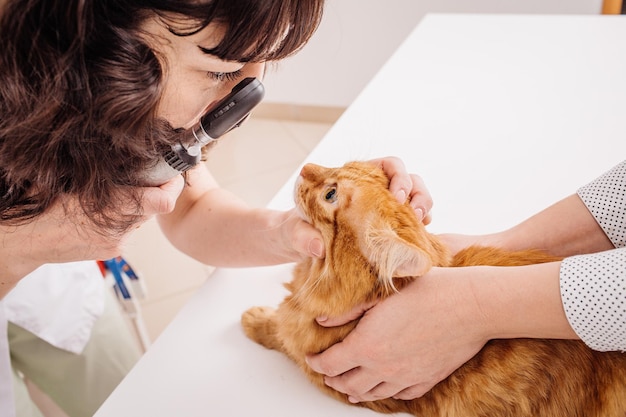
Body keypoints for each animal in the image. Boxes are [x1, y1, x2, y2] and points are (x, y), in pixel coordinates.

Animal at [240, 161, 624, 414]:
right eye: (344, 163)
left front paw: (255, 318)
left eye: (331, 193)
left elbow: (280, 335)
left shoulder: (325, 369)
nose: (306, 166)